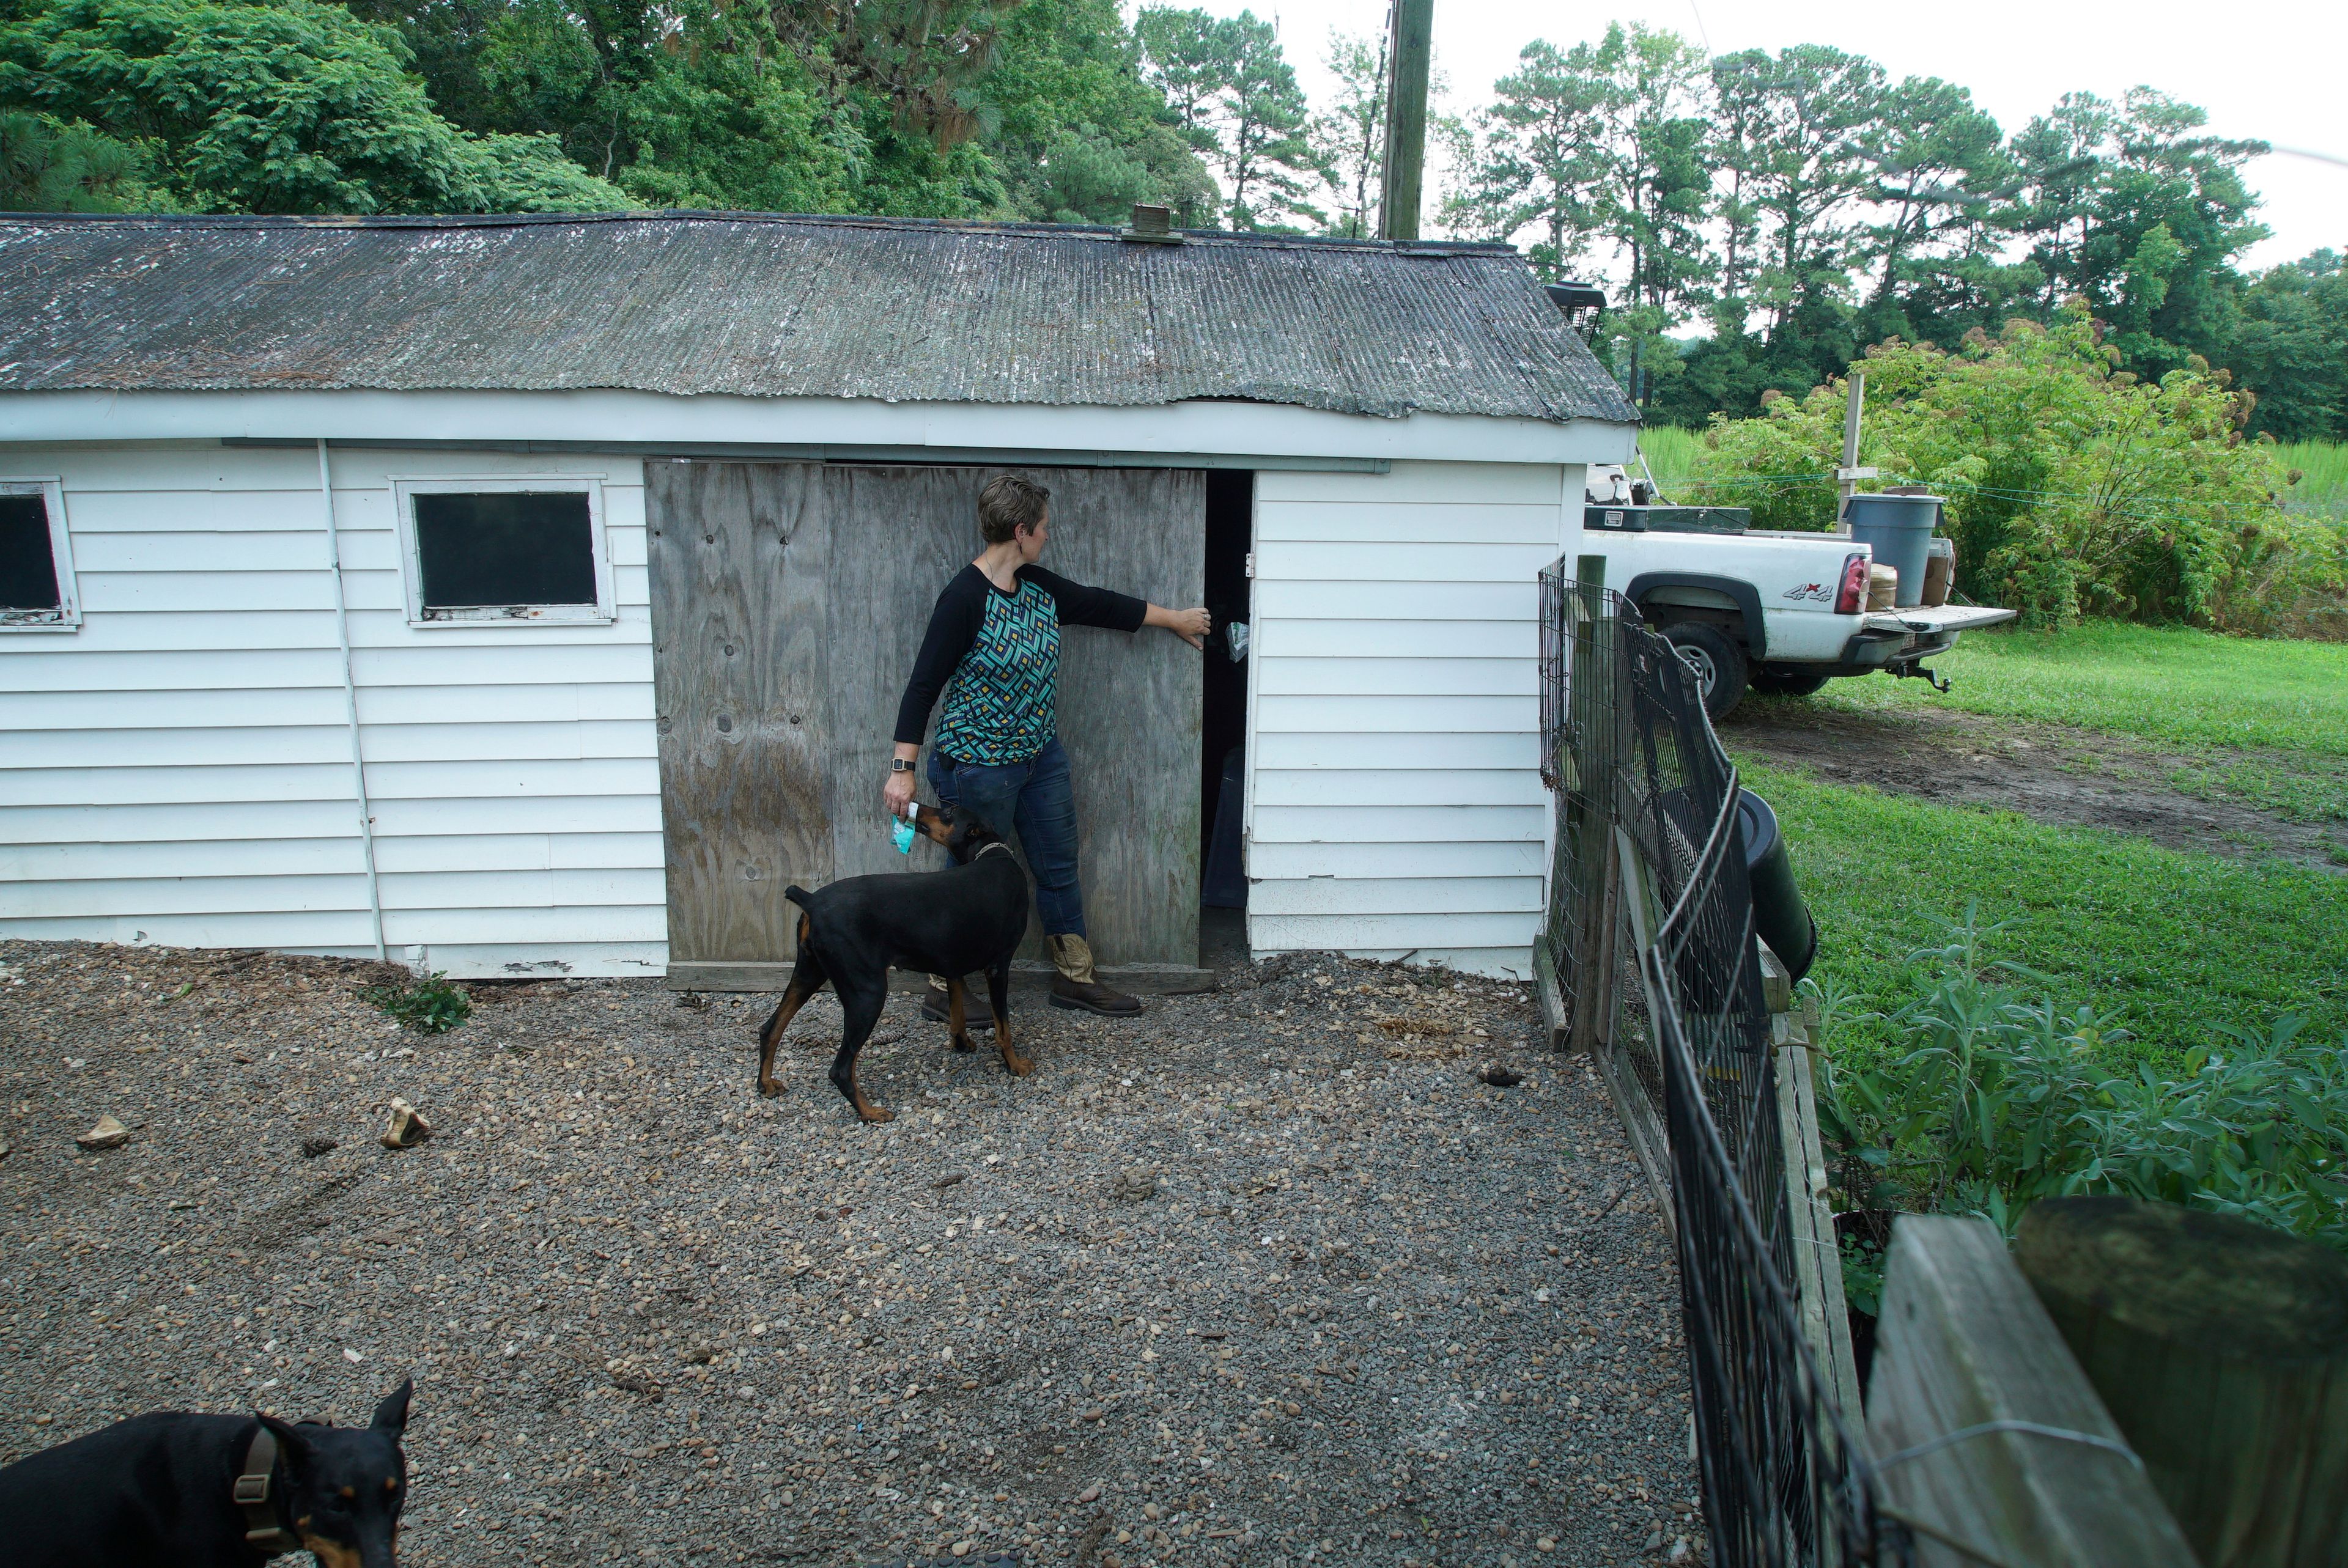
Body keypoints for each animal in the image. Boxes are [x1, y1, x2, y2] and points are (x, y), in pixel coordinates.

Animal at [756, 803, 1033, 1122]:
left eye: (949, 813)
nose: (918, 808)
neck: (992, 852)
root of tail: (811, 900)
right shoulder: (998, 966)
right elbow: (1004, 1029)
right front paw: (1016, 1065)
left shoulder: (950, 964)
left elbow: (958, 1014)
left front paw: (961, 1045)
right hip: (868, 992)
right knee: (840, 1069)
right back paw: (871, 1112)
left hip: (808, 972)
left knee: (771, 1029)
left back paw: (766, 1083)